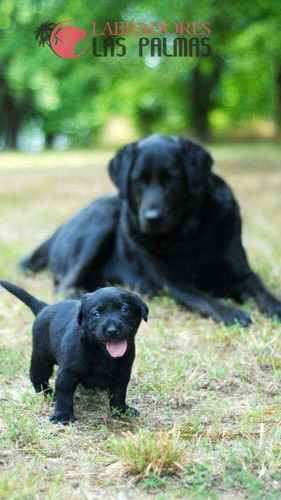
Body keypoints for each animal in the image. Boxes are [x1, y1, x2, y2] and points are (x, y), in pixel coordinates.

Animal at [0, 280, 148, 424]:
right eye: (96, 314)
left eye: (124, 309)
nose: (112, 330)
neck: (101, 353)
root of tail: (45, 308)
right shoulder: (67, 373)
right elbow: (64, 395)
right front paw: (63, 415)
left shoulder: (122, 372)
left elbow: (119, 392)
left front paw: (120, 409)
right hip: (41, 358)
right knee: (38, 378)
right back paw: (47, 395)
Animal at [20, 135, 280, 326]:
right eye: (139, 181)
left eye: (171, 179)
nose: (152, 218)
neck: (189, 236)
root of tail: (58, 230)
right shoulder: (175, 284)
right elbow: (207, 300)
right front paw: (231, 312)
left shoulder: (242, 273)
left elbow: (262, 290)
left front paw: (276, 307)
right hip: (104, 217)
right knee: (62, 285)